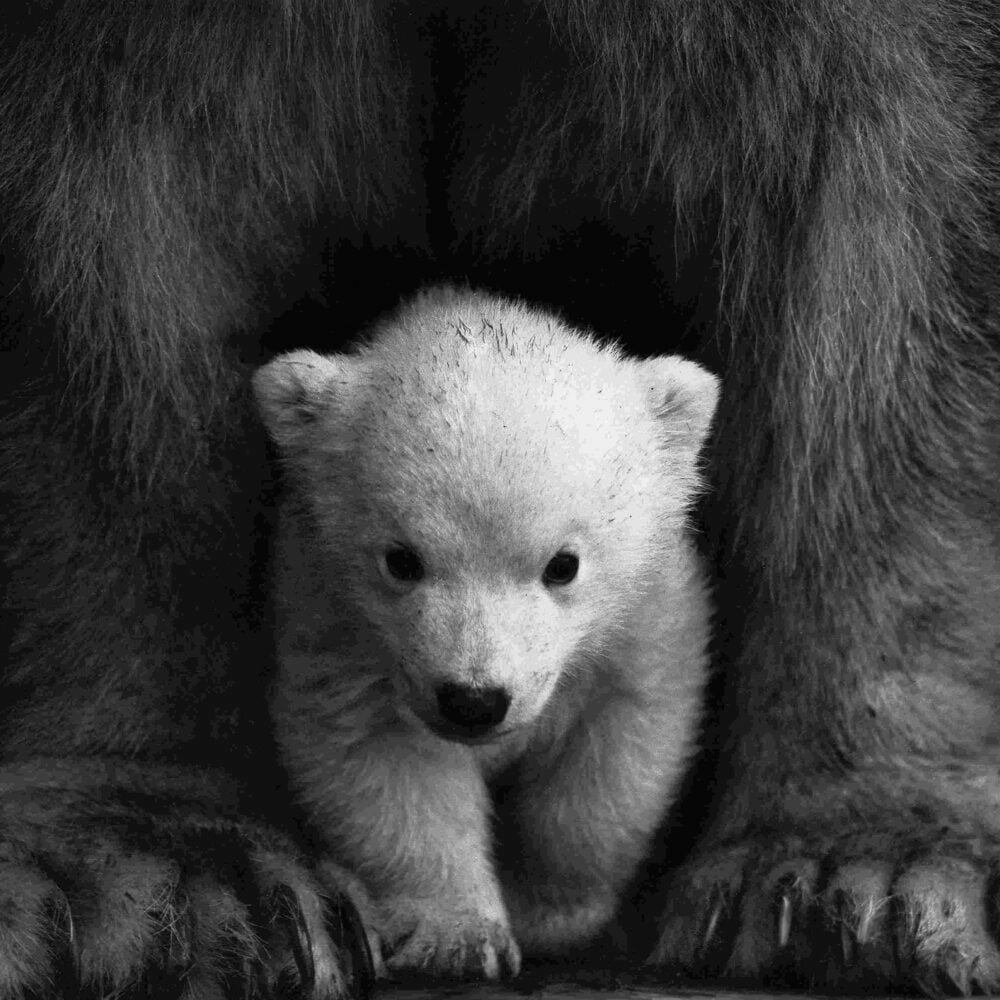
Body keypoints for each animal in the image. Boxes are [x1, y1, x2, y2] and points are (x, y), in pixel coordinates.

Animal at [252, 285, 718, 979]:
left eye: (563, 565)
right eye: (402, 560)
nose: (473, 701)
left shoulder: (647, 618)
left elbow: (613, 754)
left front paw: (549, 913)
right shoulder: (336, 624)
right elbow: (384, 761)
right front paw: (459, 937)